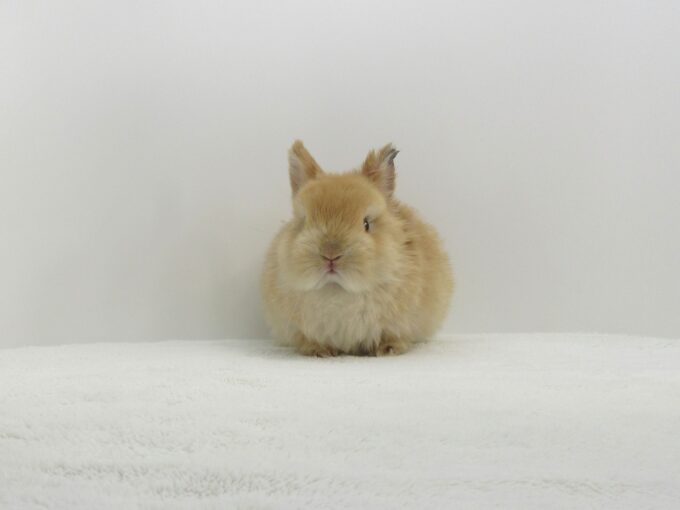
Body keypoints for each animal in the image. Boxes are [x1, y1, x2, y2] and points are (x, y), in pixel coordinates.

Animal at [261, 141, 453, 357]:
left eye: (366, 224)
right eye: (303, 223)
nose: (331, 255)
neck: (337, 290)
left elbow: (394, 335)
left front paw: (388, 349)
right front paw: (319, 351)